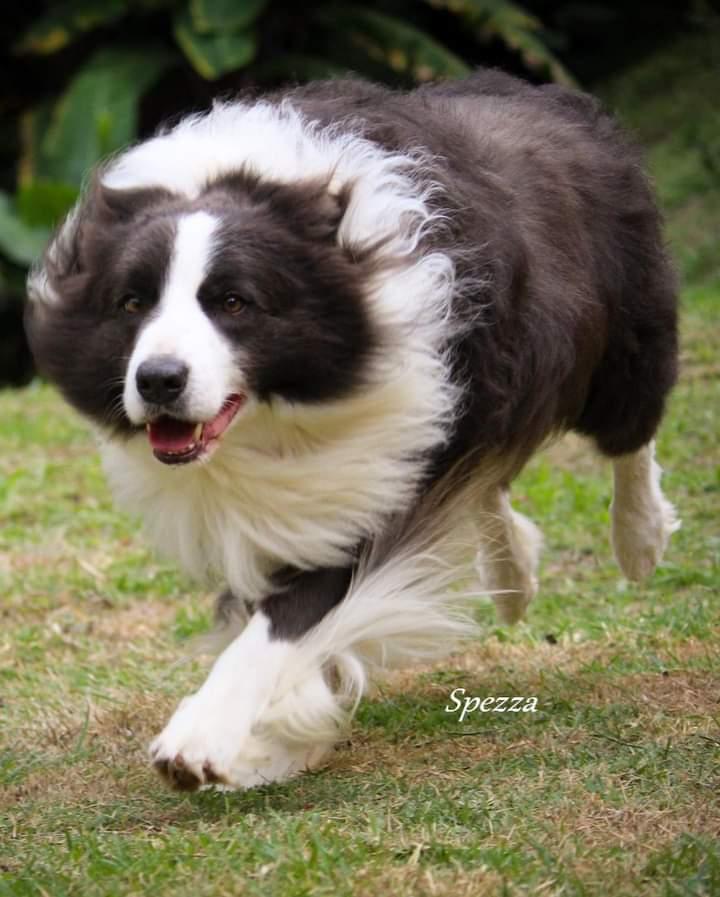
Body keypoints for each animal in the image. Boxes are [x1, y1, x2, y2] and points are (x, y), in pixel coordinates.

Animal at [26, 72, 680, 792]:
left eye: (233, 302)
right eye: (132, 302)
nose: (158, 380)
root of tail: (551, 95)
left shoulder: (380, 450)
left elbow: (290, 616)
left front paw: (204, 739)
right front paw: (284, 737)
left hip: (619, 328)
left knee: (630, 426)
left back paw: (639, 537)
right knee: (485, 477)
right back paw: (512, 578)